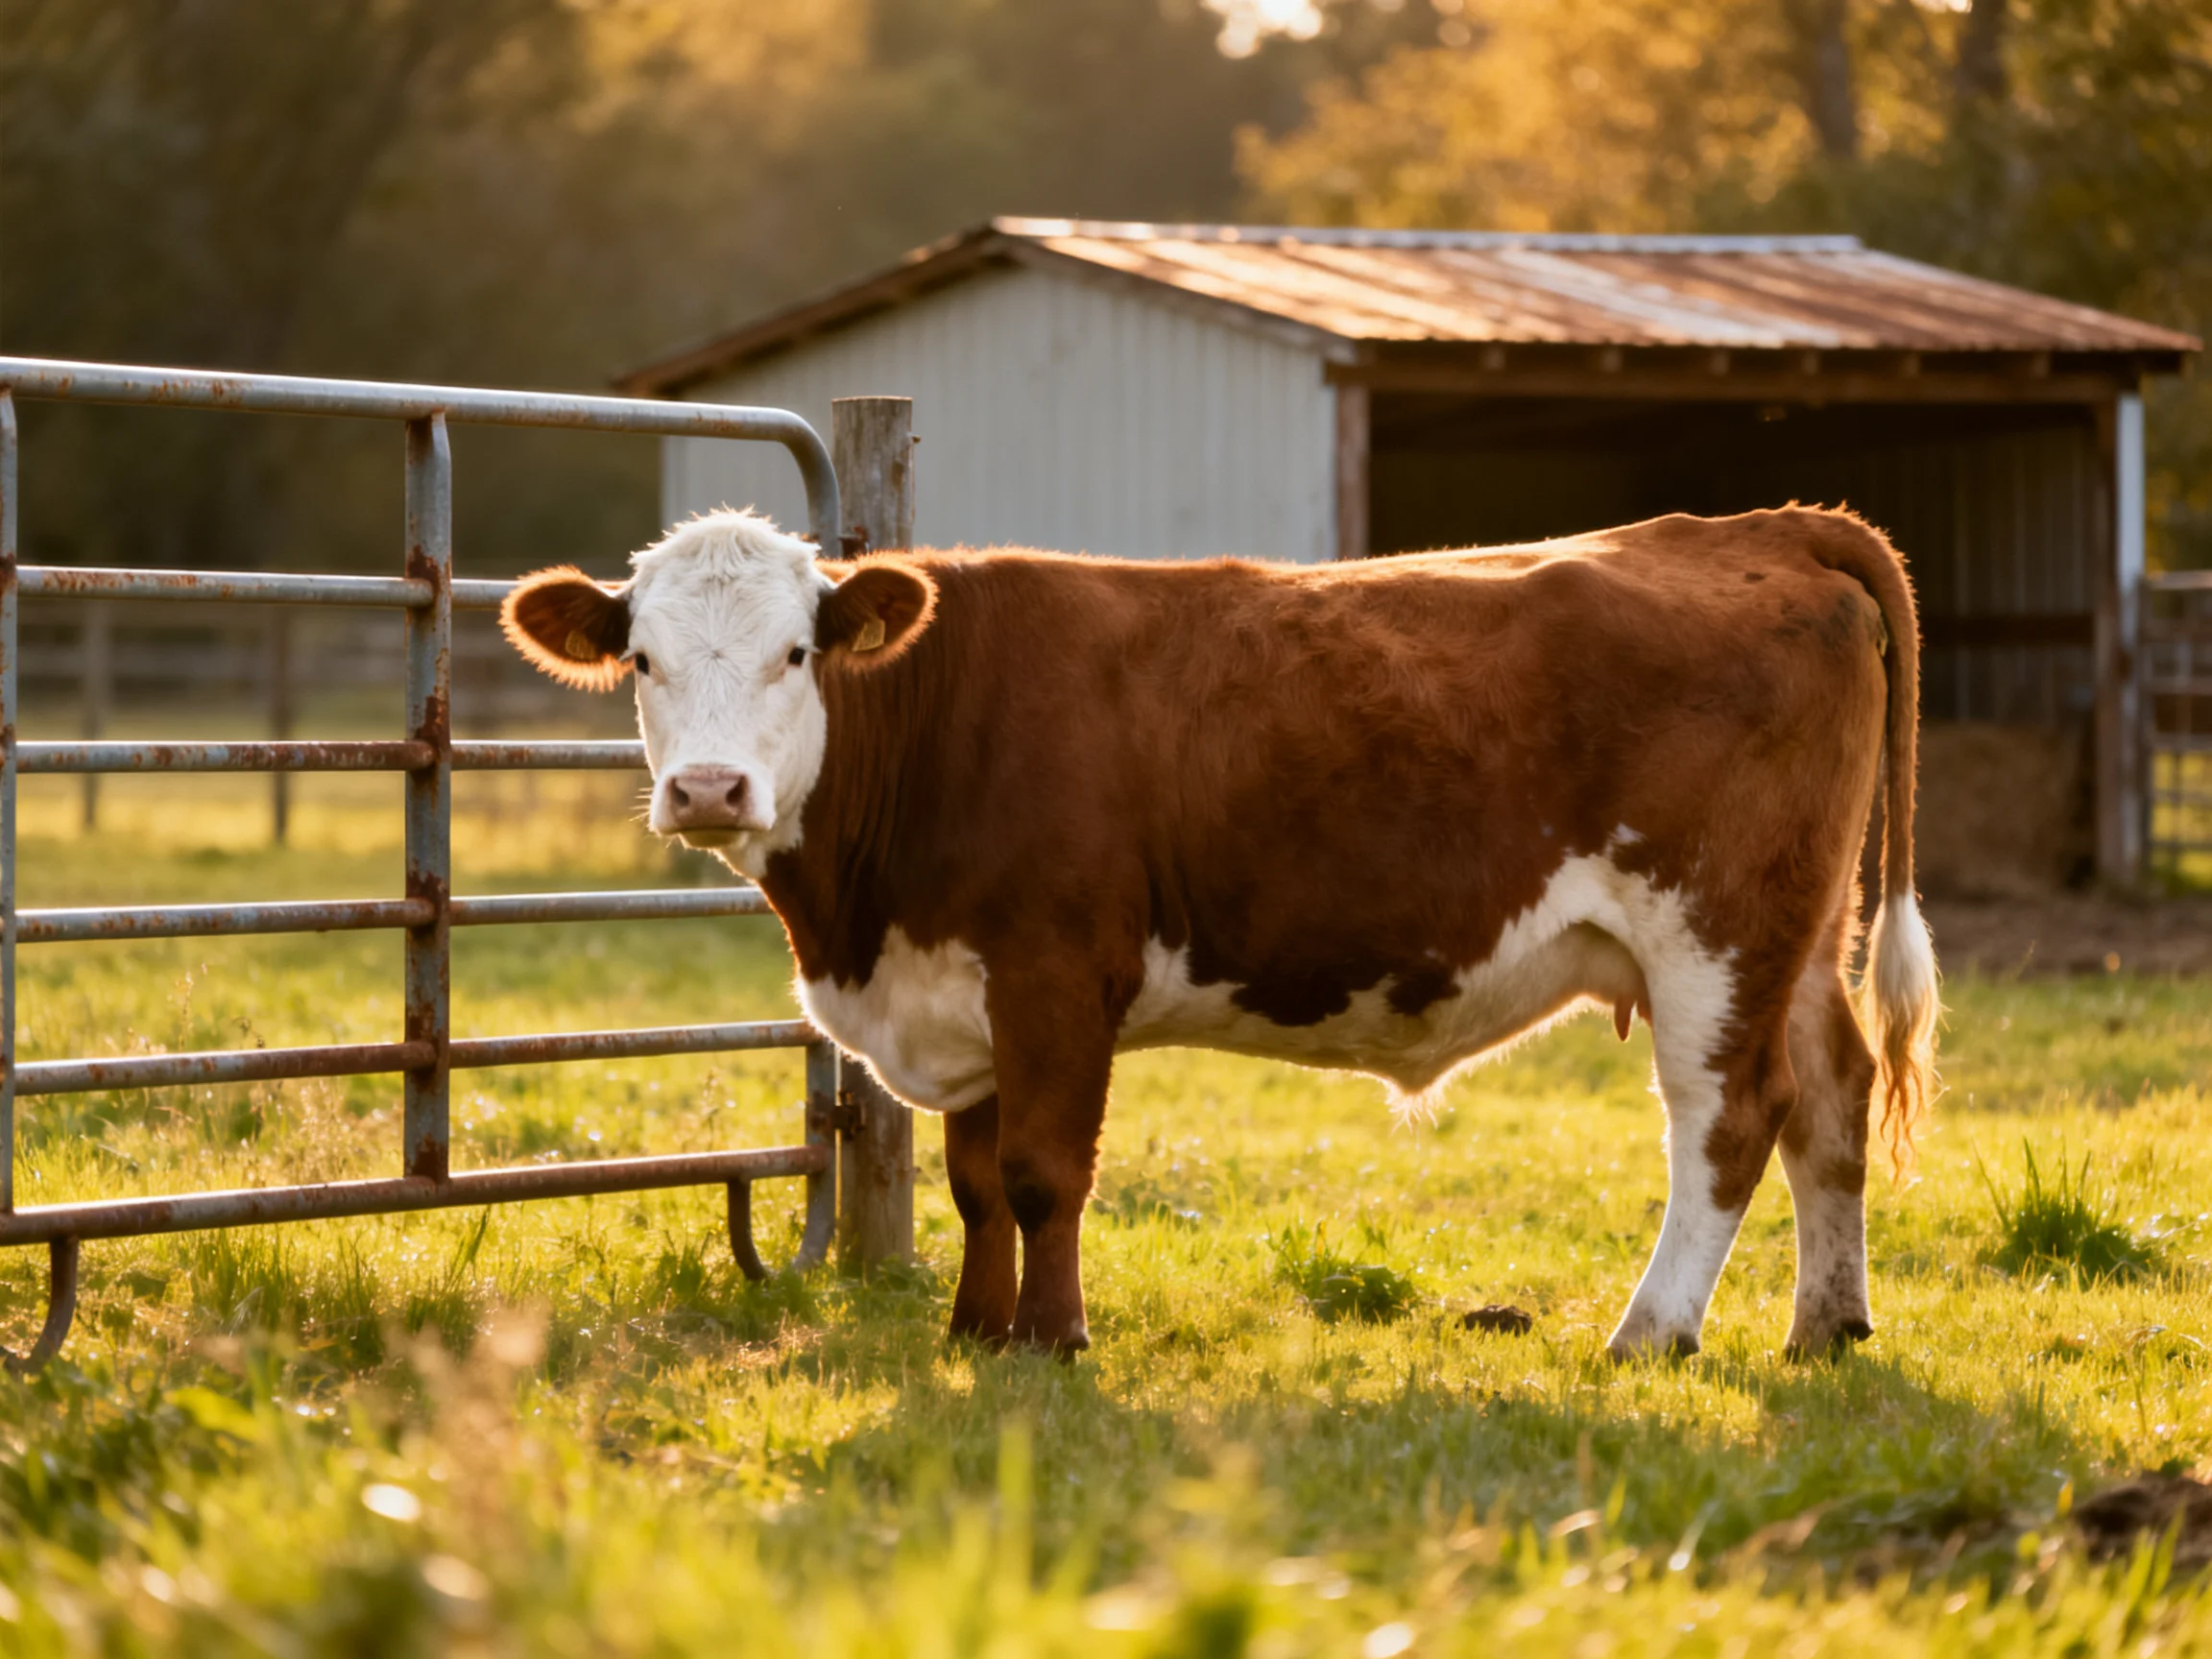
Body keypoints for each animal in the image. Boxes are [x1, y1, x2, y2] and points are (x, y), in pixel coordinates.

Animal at [500, 505, 1939, 1360]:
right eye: (642, 661)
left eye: (796, 654)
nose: (707, 791)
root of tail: (1754, 526)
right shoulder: (965, 992)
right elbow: (974, 1179)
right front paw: (975, 1332)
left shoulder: (1054, 971)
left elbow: (1042, 1174)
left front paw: (1053, 1341)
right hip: (1801, 934)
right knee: (1832, 1097)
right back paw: (1828, 1325)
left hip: (1715, 931)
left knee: (1730, 1119)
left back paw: (1651, 1332)